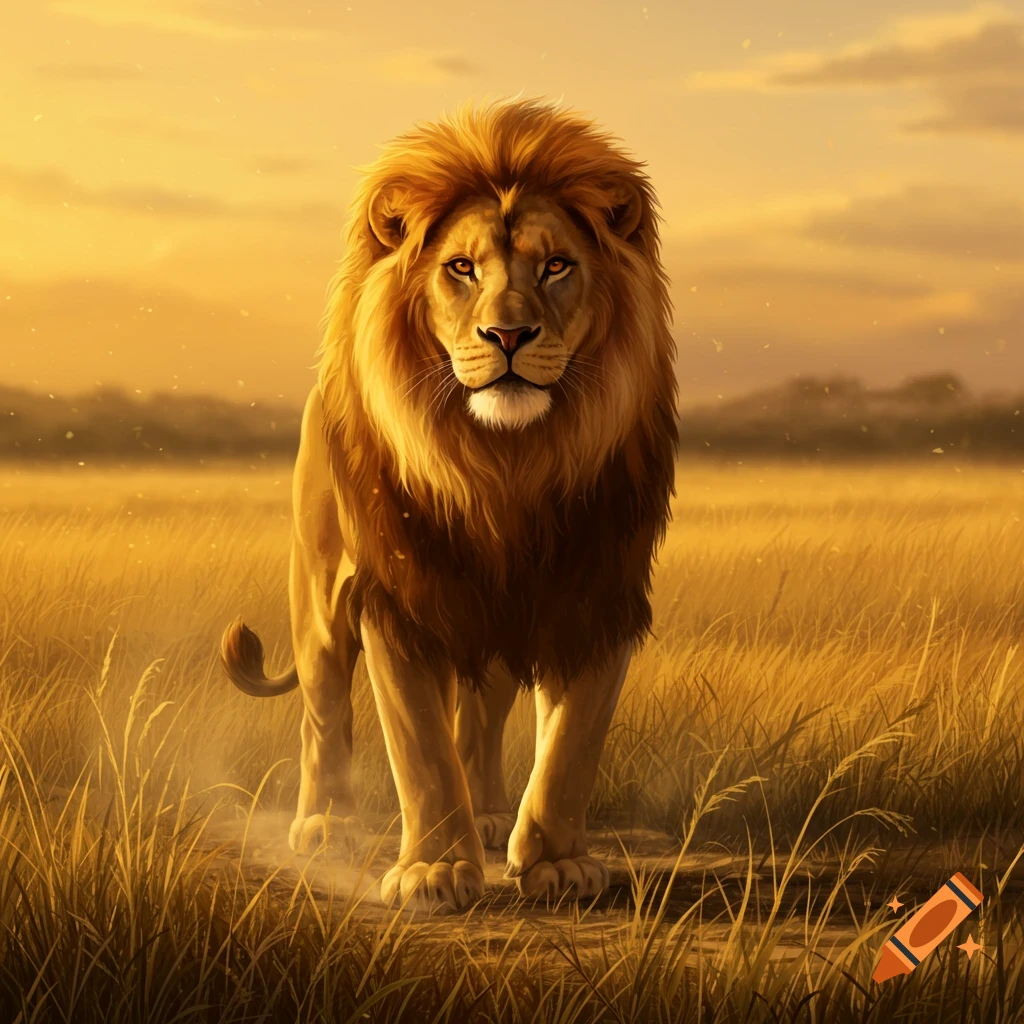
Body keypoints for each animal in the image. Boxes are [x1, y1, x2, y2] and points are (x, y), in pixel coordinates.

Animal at [220, 97, 678, 911]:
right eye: (461, 268)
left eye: (557, 264)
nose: (508, 334)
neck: (506, 466)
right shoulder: (400, 595)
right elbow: (419, 747)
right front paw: (432, 873)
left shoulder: (597, 590)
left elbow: (572, 742)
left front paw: (557, 863)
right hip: (321, 599)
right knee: (323, 712)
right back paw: (325, 824)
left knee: (483, 711)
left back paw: (491, 813)